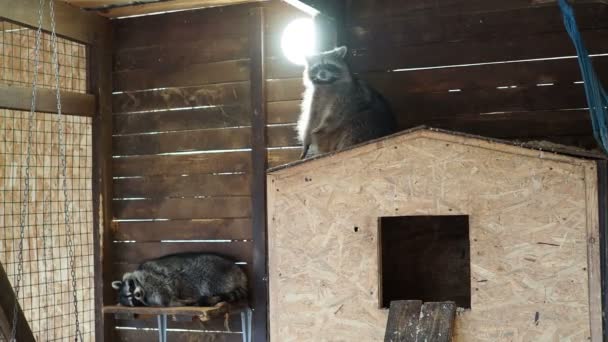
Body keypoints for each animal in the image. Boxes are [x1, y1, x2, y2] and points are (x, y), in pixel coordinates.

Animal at [111, 251, 247, 308]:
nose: (138, 294)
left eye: (131, 286)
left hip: (215, 271)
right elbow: (166, 300)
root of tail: (239, 272)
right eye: (133, 300)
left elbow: (164, 286)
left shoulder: (151, 274)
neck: (144, 289)